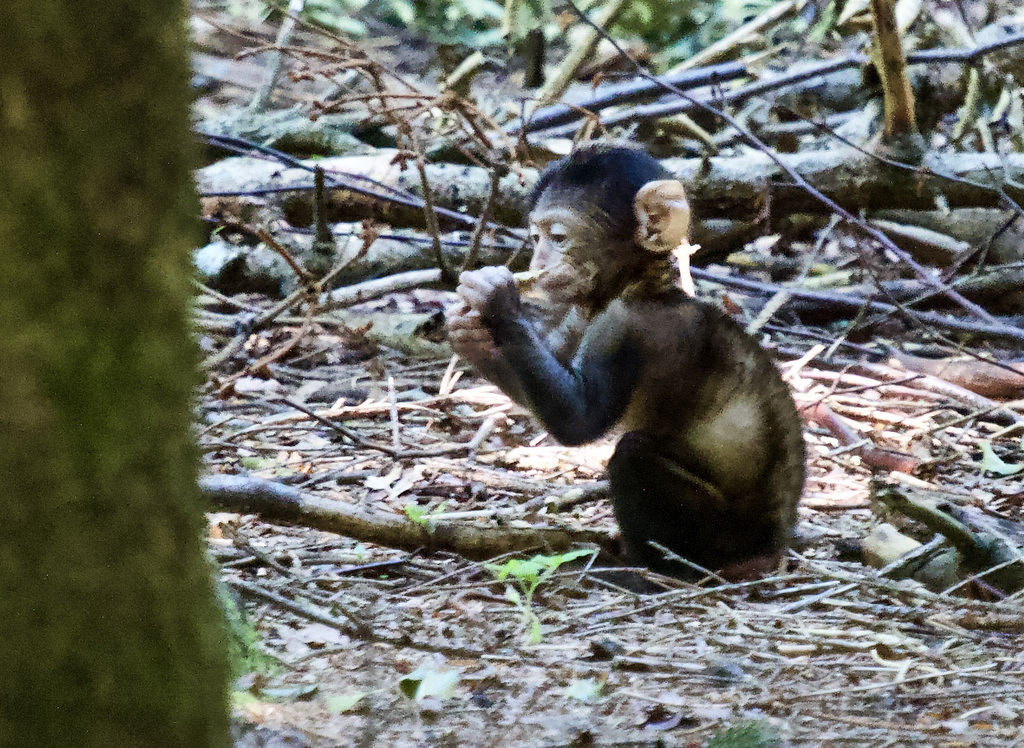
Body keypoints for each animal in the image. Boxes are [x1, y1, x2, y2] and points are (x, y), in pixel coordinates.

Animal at [444, 144, 802, 577]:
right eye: (536, 236)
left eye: (558, 237)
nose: (537, 262)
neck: (642, 283)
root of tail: (774, 548)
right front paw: (471, 334)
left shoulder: (626, 326)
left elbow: (580, 420)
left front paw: (496, 301)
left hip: (727, 536)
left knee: (633, 457)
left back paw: (654, 572)